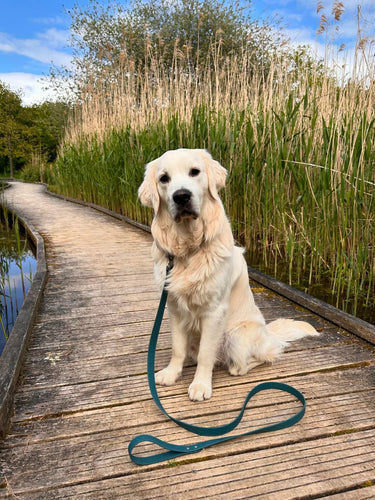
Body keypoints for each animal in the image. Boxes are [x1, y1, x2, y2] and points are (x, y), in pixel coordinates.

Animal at [140, 149, 318, 402]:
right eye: (164, 178)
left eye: (195, 172)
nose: (181, 196)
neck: (189, 248)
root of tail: (267, 333)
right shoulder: (174, 307)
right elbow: (177, 348)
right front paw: (171, 374)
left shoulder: (214, 312)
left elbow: (206, 354)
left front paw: (200, 385)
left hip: (236, 335)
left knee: (262, 357)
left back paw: (236, 367)